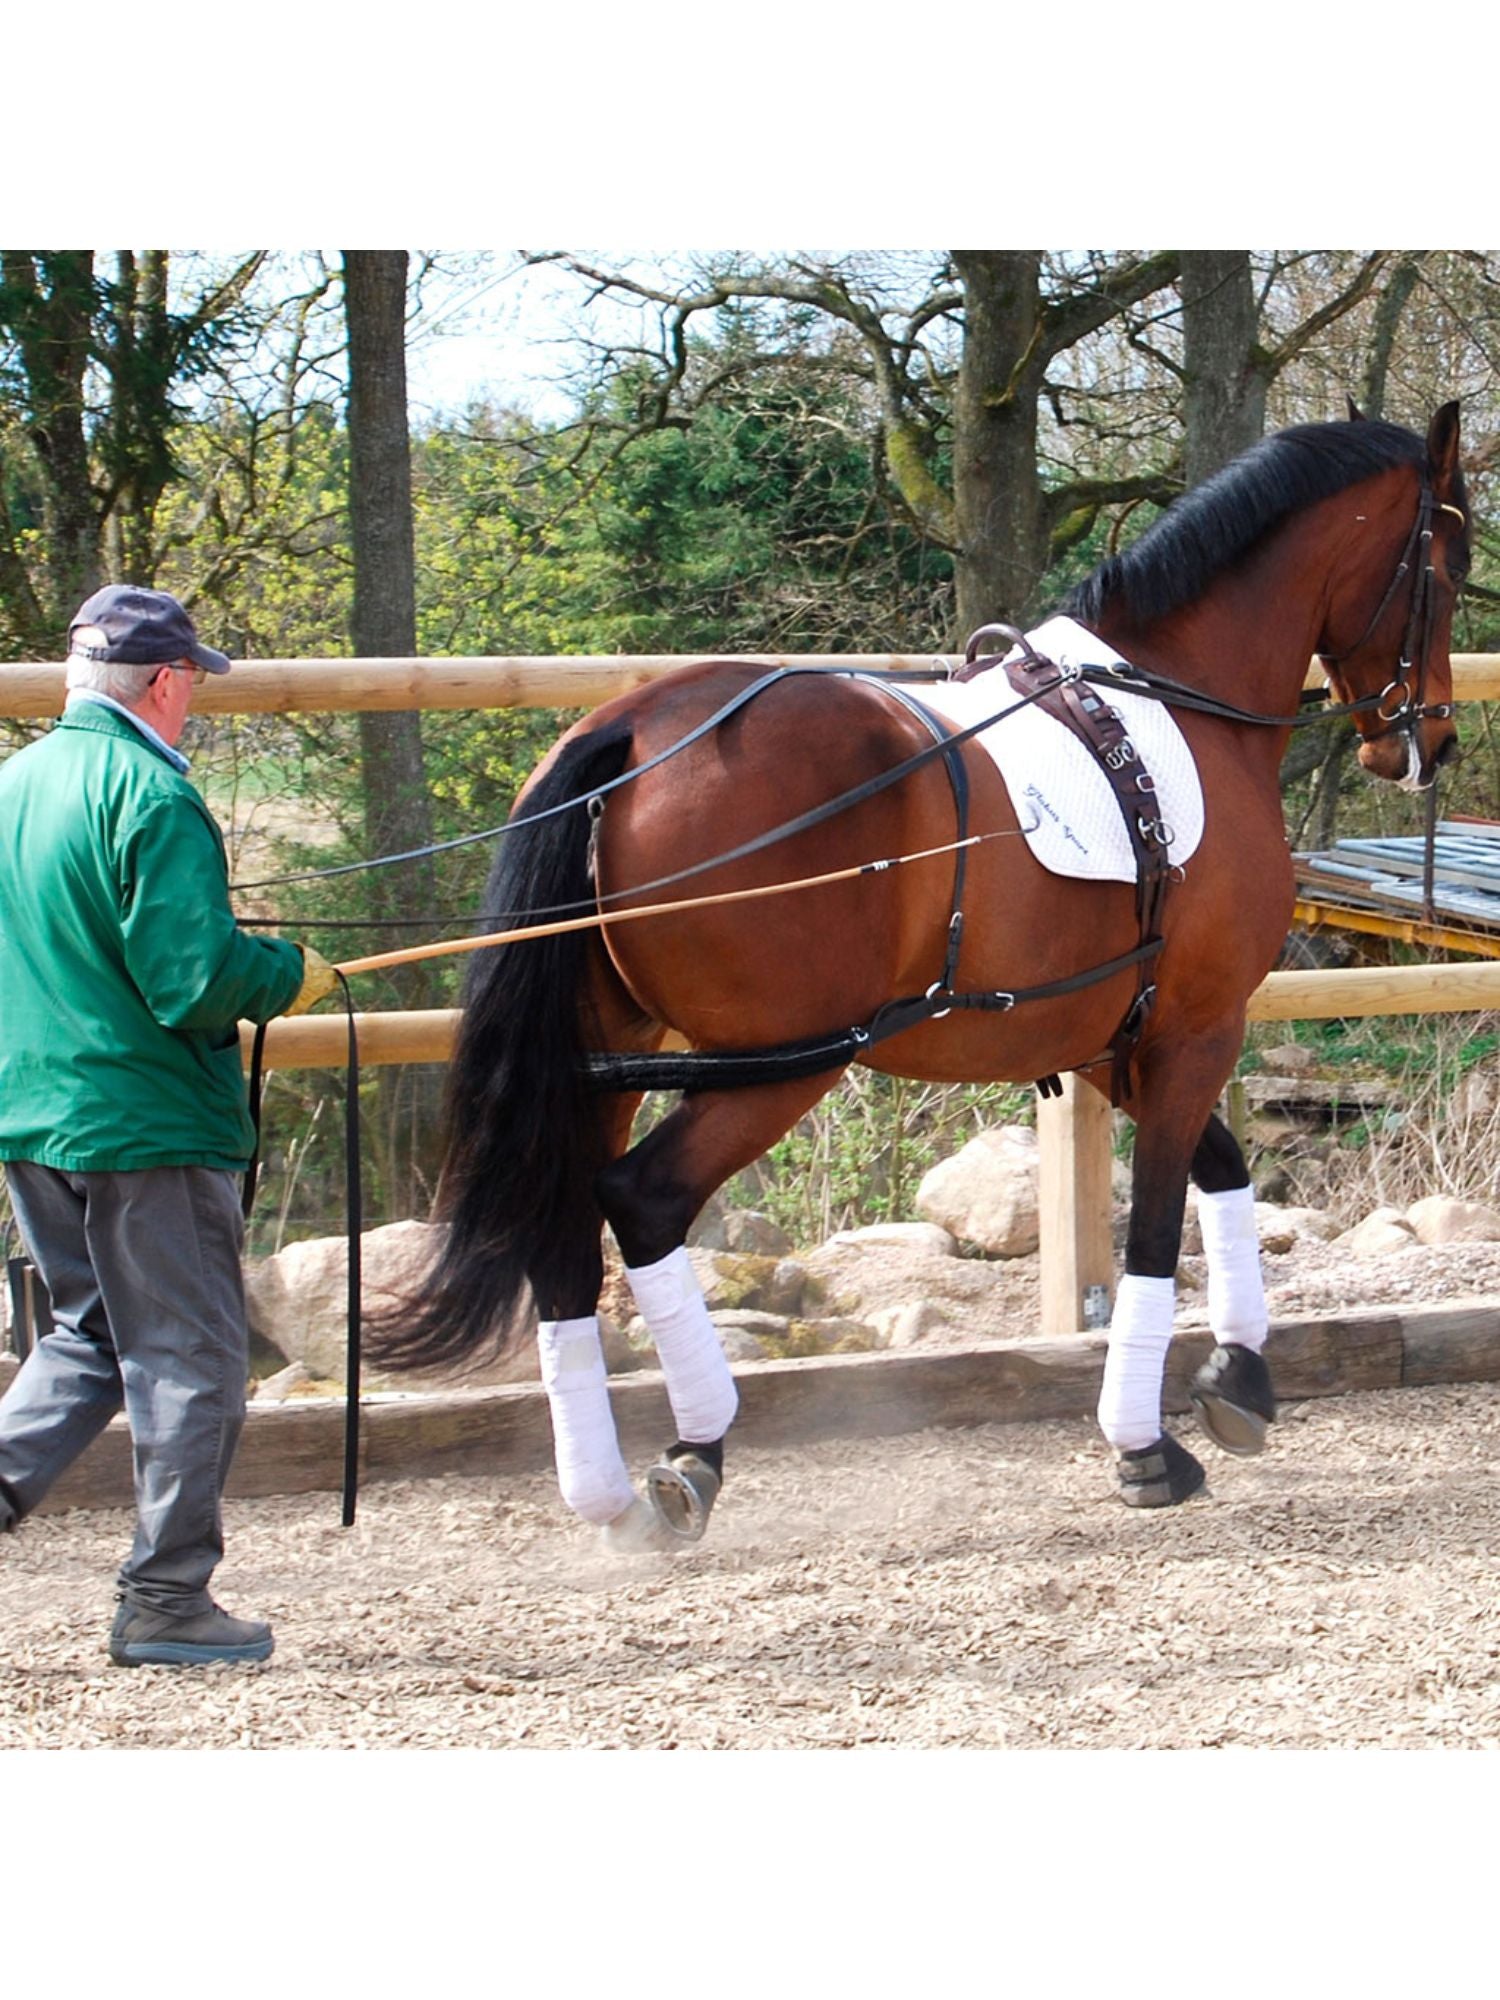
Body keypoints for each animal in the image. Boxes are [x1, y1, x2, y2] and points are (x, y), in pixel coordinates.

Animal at [370, 398, 1472, 1536]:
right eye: (1452, 564)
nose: (1429, 742)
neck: (1178, 704)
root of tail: (628, 731)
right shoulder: (1197, 1028)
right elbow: (1162, 1225)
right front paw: (1145, 1446)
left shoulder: (1119, 1040)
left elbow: (1222, 1170)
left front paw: (1240, 1379)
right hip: (786, 1063)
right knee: (640, 1199)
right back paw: (695, 1451)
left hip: (612, 1056)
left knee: (561, 1228)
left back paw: (606, 1491)